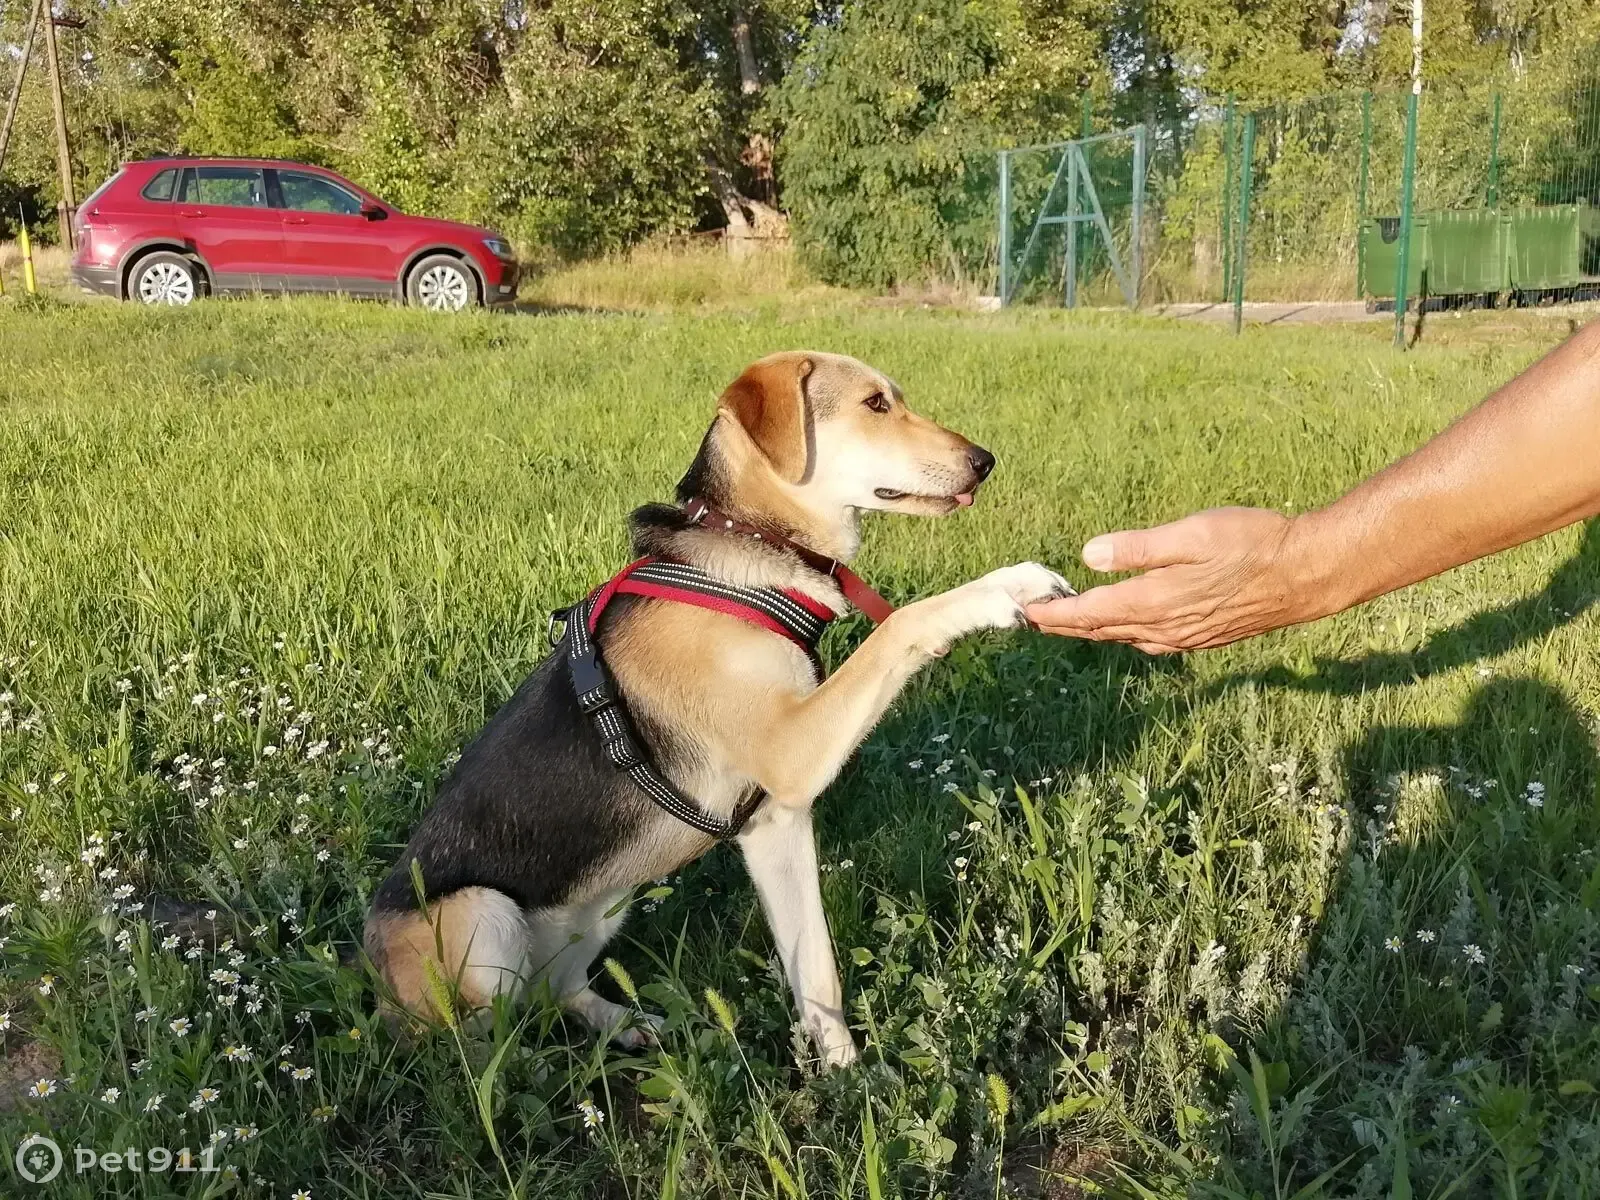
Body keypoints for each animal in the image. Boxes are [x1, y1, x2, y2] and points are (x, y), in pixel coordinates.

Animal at [360, 352, 1062, 1068]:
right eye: (875, 405)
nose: (985, 461)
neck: (748, 543)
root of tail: (378, 994)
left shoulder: (776, 823)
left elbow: (817, 970)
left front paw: (844, 1072)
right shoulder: (790, 751)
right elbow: (903, 624)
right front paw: (1002, 587)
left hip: (603, 904)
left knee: (555, 990)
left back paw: (625, 1023)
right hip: (483, 916)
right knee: (479, 1049)